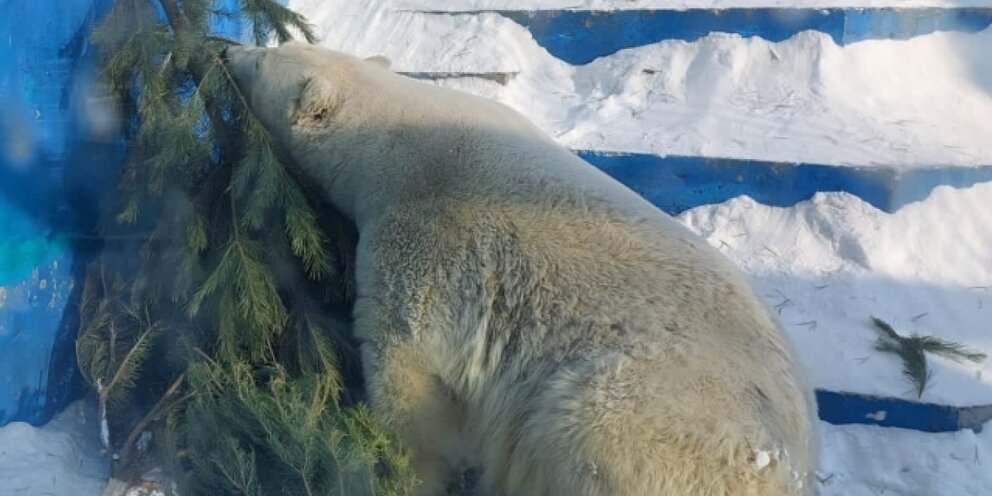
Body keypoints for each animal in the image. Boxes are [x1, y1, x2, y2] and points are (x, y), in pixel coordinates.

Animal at [227, 43, 820, 496]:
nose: (226, 48)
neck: (395, 137)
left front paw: (399, 468)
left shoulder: (427, 240)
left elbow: (409, 369)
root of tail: (790, 461)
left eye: (263, 57)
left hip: (645, 415)